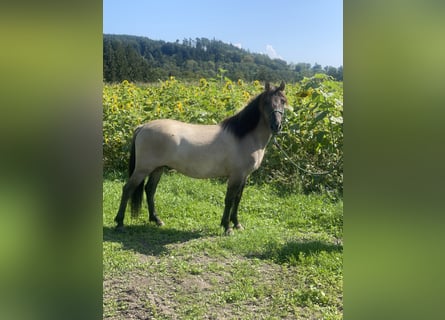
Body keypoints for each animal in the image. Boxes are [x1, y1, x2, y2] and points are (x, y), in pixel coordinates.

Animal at [114, 81, 286, 234]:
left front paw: (237, 224)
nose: (276, 126)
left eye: (283, 101)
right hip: (143, 169)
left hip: (158, 168)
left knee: (149, 190)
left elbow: (237, 199)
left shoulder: (244, 176)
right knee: (128, 189)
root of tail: (142, 127)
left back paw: (156, 220)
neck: (244, 136)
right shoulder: (236, 175)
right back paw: (120, 223)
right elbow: (229, 199)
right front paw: (227, 227)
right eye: (266, 102)